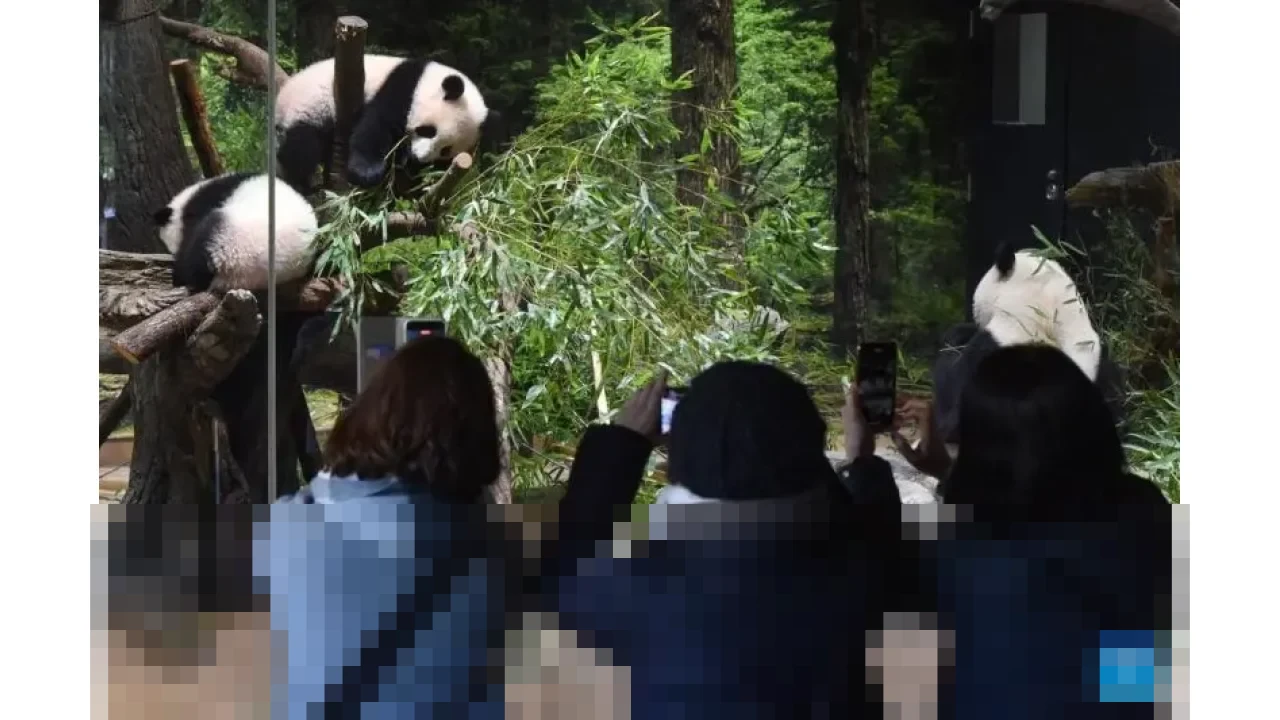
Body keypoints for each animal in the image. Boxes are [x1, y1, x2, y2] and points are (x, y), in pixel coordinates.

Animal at [274, 55, 489, 193]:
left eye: (446, 150)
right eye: (428, 131)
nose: (419, 157)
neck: (427, 79)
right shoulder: (402, 88)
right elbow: (376, 126)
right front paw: (367, 174)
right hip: (310, 106)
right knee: (302, 147)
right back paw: (302, 184)